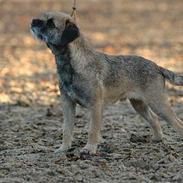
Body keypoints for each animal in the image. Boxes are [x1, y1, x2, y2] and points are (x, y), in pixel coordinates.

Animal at [30, 11, 183, 154]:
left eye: (51, 24)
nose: (33, 21)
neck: (73, 64)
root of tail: (157, 67)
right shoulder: (68, 105)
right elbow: (67, 129)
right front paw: (64, 148)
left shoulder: (95, 106)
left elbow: (92, 130)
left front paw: (89, 149)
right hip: (139, 104)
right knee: (154, 119)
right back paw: (157, 138)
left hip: (158, 103)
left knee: (178, 123)